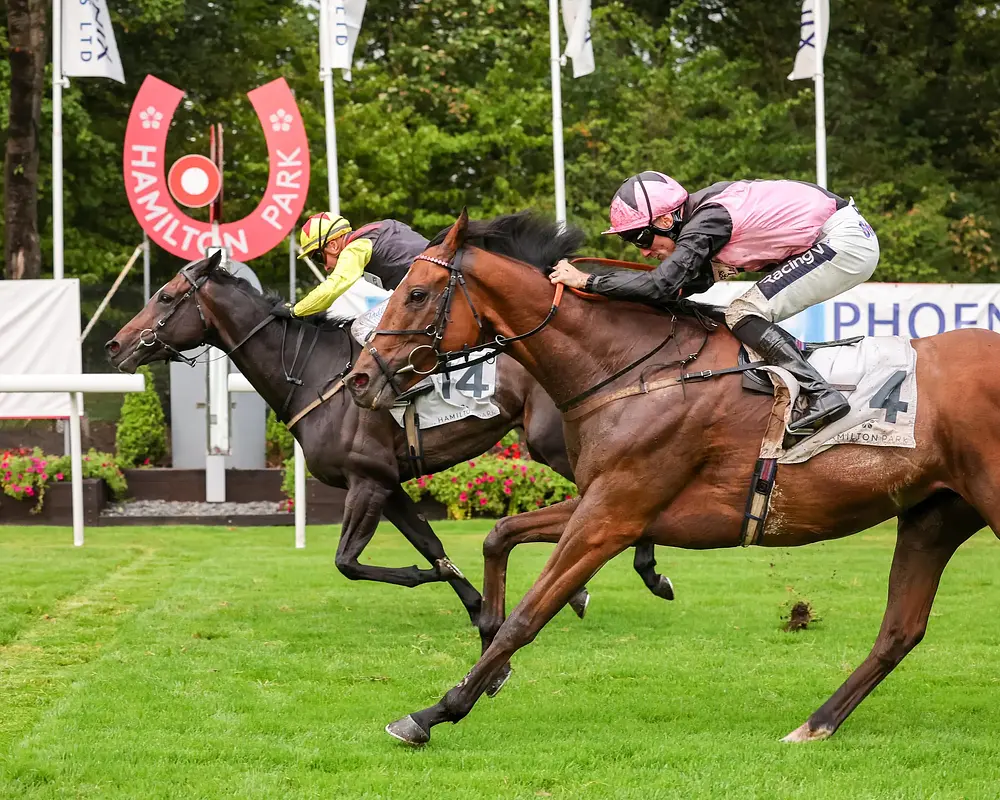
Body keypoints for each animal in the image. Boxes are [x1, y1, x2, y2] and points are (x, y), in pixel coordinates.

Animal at [105, 253, 673, 632]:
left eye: (166, 296)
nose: (115, 344)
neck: (315, 375)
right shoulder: (388, 483)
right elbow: (432, 544)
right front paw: (473, 602)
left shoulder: (367, 481)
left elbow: (348, 562)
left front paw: (421, 576)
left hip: (554, 445)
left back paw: (645, 571)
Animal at [345, 209, 1000, 746]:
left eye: (416, 294)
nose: (359, 380)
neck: (633, 369)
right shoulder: (606, 501)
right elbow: (498, 536)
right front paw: (488, 651)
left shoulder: (613, 514)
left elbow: (529, 615)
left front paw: (434, 711)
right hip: (935, 515)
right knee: (900, 631)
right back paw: (815, 724)